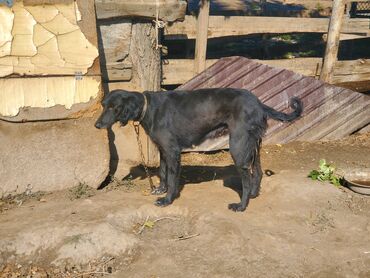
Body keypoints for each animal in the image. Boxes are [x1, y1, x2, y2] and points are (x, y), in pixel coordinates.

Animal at [94, 88, 302, 212]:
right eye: (104, 106)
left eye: (114, 107)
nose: (96, 125)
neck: (148, 107)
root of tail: (258, 102)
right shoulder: (163, 150)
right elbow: (162, 172)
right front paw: (160, 190)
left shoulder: (172, 151)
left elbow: (172, 178)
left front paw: (167, 199)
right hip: (253, 146)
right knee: (257, 173)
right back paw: (253, 194)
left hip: (238, 147)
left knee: (246, 178)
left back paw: (241, 205)